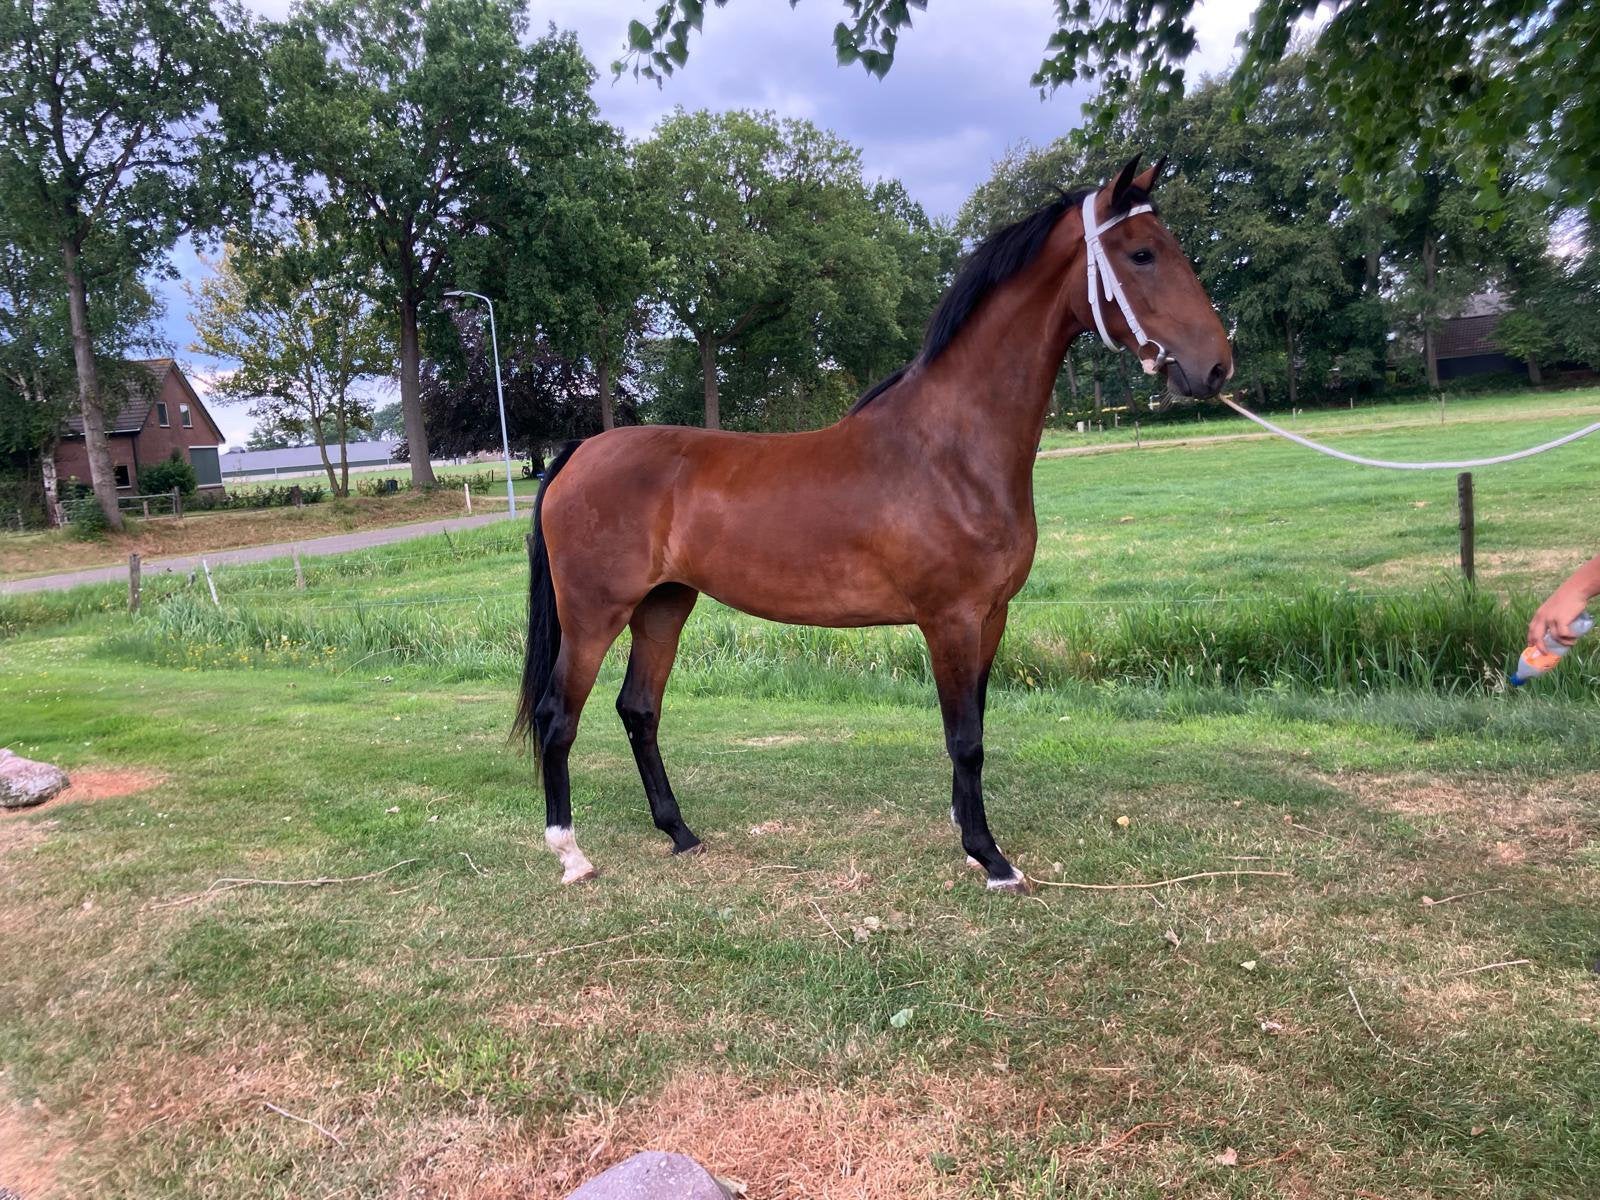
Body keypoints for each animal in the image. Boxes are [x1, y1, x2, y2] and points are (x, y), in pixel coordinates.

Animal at [513, 154, 1232, 892]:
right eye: (1142, 253)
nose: (1215, 366)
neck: (951, 449)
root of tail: (580, 453)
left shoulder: (991, 617)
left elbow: (975, 724)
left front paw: (965, 828)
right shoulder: (950, 619)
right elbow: (965, 738)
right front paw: (989, 855)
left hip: (664, 605)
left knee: (639, 709)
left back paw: (680, 833)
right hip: (595, 614)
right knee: (558, 716)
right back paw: (571, 853)